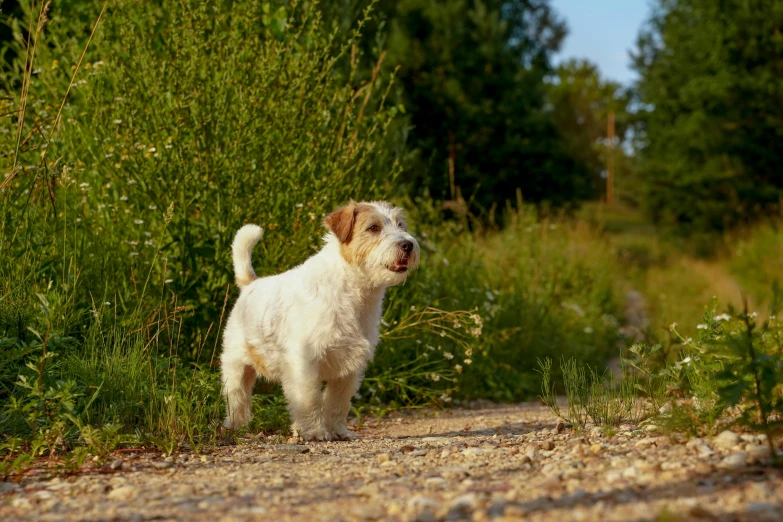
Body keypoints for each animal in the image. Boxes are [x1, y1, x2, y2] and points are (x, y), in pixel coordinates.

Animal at [220, 199, 420, 438]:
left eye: (400, 224)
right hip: (236, 365)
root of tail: (251, 284)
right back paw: (236, 427)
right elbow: (309, 400)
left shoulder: (349, 368)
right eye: (373, 227)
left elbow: (337, 403)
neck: (353, 290)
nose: (408, 244)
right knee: (237, 397)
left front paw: (338, 431)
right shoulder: (305, 362)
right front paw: (314, 432)